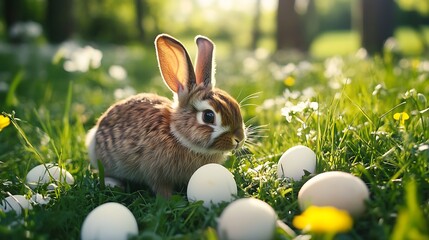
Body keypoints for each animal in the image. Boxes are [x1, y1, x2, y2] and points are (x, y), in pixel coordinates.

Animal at [85, 33, 246, 197]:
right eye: (208, 116)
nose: (239, 139)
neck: (176, 135)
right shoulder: (156, 173)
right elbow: (161, 188)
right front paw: (168, 198)